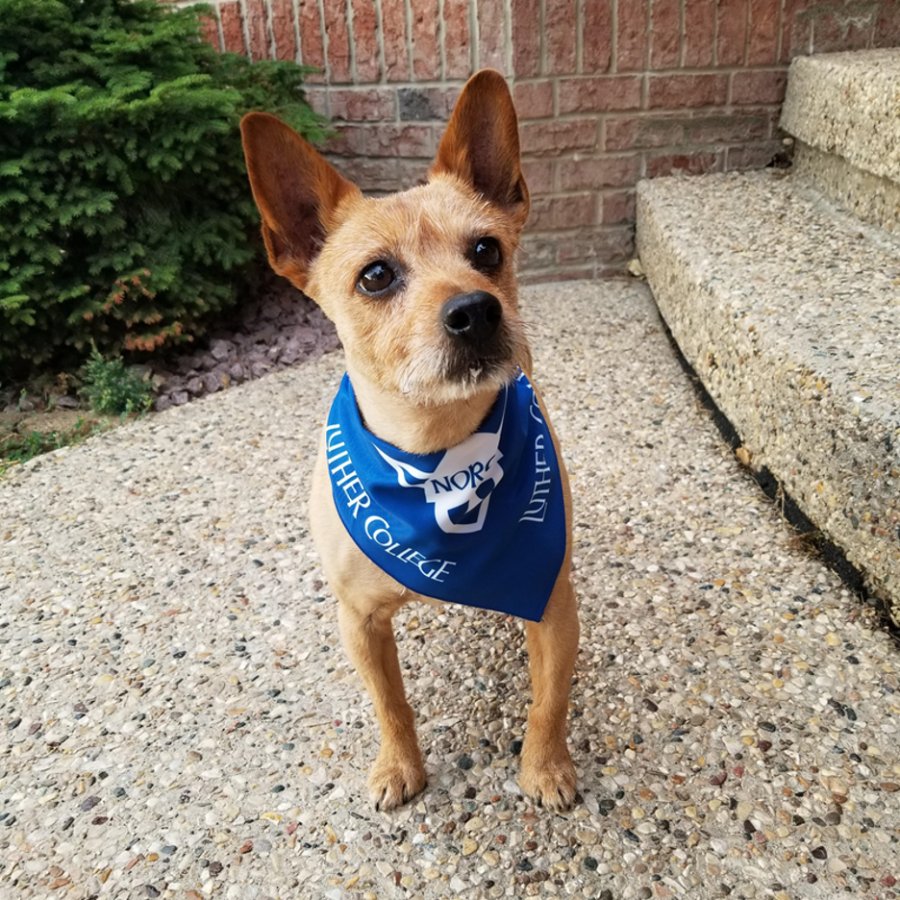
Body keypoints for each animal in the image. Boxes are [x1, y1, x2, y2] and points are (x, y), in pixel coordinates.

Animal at [241, 70, 576, 812]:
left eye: (486, 251)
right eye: (375, 276)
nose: (476, 309)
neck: (434, 453)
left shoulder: (554, 604)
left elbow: (549, 699)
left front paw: (545, 766)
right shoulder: (360, 622)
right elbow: (390, 703)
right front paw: (400, 765)